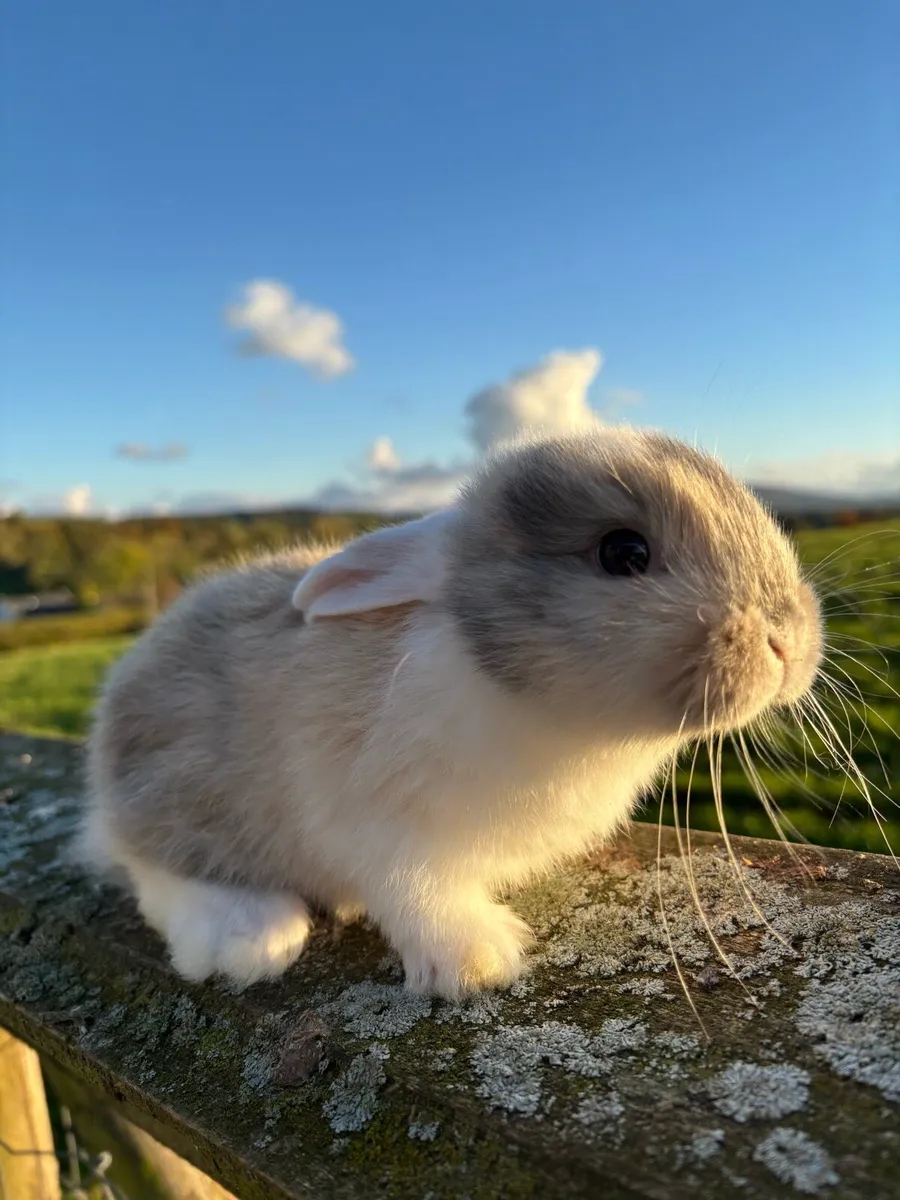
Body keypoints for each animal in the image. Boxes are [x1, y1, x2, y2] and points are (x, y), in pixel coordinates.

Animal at [78, 426, 823, 999]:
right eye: (623, 552)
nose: (788, 641)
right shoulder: (380, 825)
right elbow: (415, 891)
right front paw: (480, 962)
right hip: (181, 794)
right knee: (151, 866)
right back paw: (250, 938)